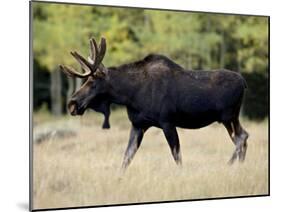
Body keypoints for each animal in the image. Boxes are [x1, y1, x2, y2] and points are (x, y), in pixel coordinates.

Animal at [60, 36, 248, 169]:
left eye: (92, 82)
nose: (72, 104)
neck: (130, 95)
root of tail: (244, 82)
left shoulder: (167, 122)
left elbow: (177, 156)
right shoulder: (138, 125)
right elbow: (126, 158)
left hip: (228, 116)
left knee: (241, 137)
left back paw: (228, 165)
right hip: (229, 118)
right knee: (242, 137)